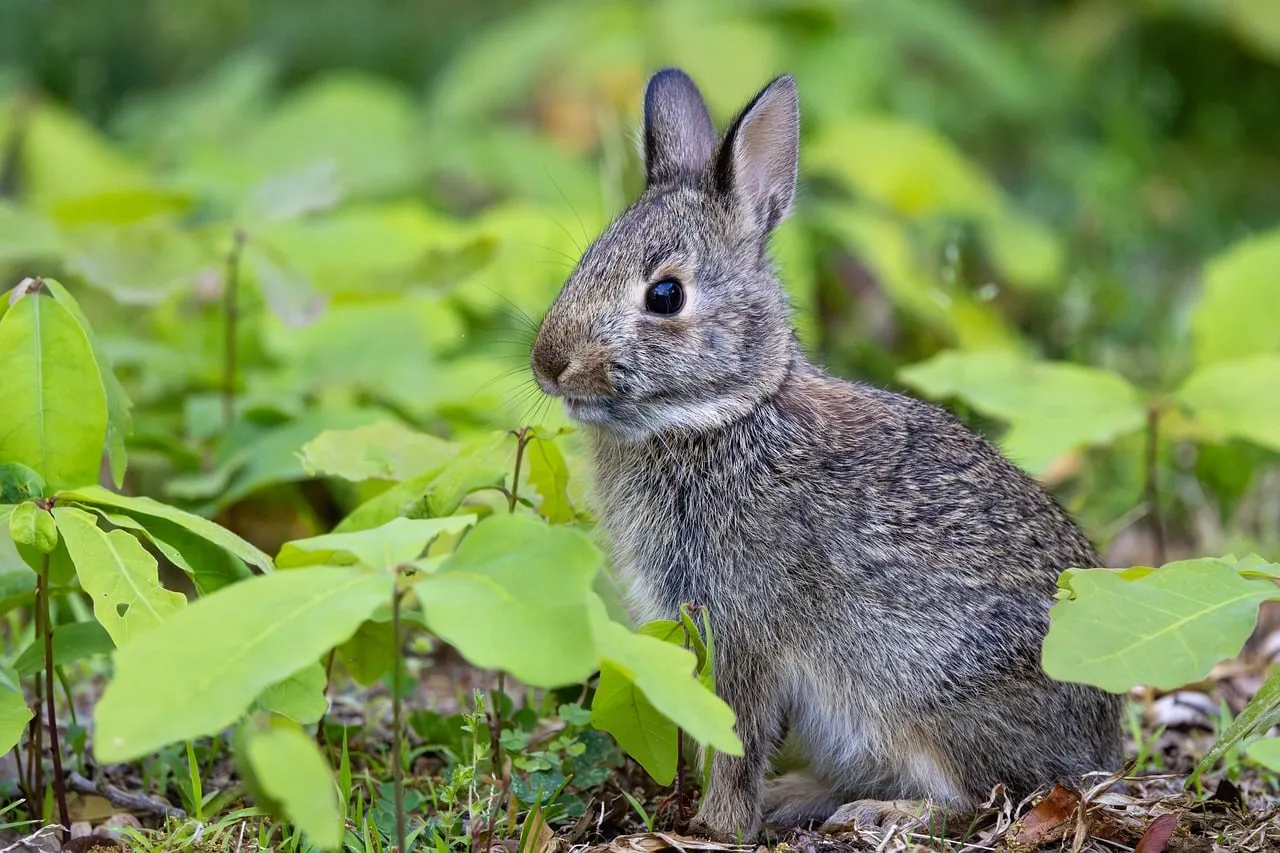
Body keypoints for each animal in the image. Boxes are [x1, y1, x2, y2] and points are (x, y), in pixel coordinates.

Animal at [529, 68, 1123, 843]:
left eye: (664, 295)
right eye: (584, 260)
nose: (549, 364)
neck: (727, 415)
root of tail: (1100, 748)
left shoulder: (743, 626)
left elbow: (735, 733)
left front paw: (715, 827)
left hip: (923, 698)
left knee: (975, 798)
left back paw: (875, 809)